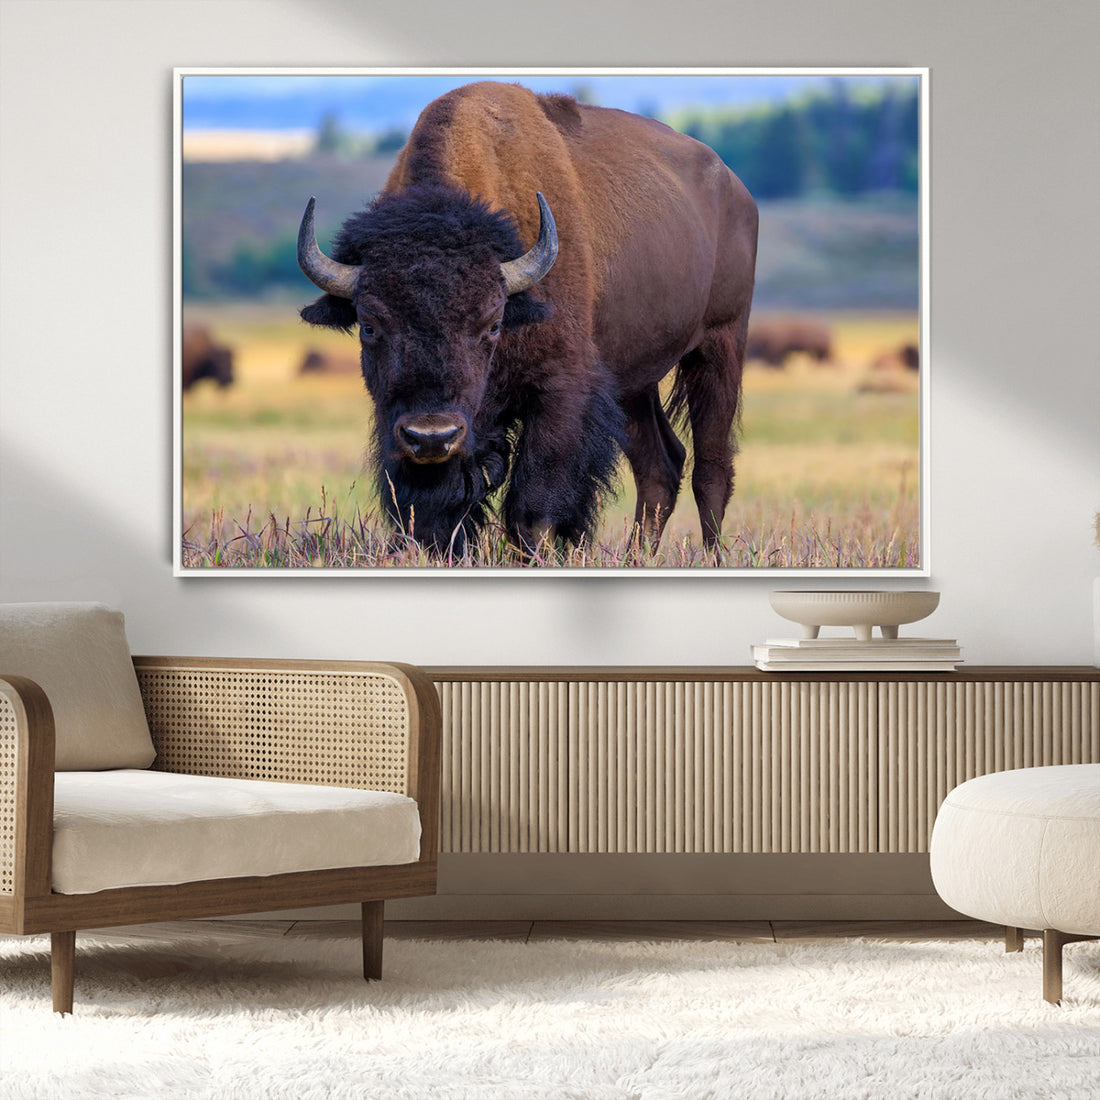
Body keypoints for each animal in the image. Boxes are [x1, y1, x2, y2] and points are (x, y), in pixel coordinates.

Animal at [298, 82, 758, 555]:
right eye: (370, 325)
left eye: (492, 324)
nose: (432, 435)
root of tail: (735, 189)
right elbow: (433, 513)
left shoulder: (559, 392)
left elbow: (532, 507)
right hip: (634, 382)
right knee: (660, 465)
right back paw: (637, 556)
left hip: (719, 347)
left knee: (711, 470)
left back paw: (711, 555)